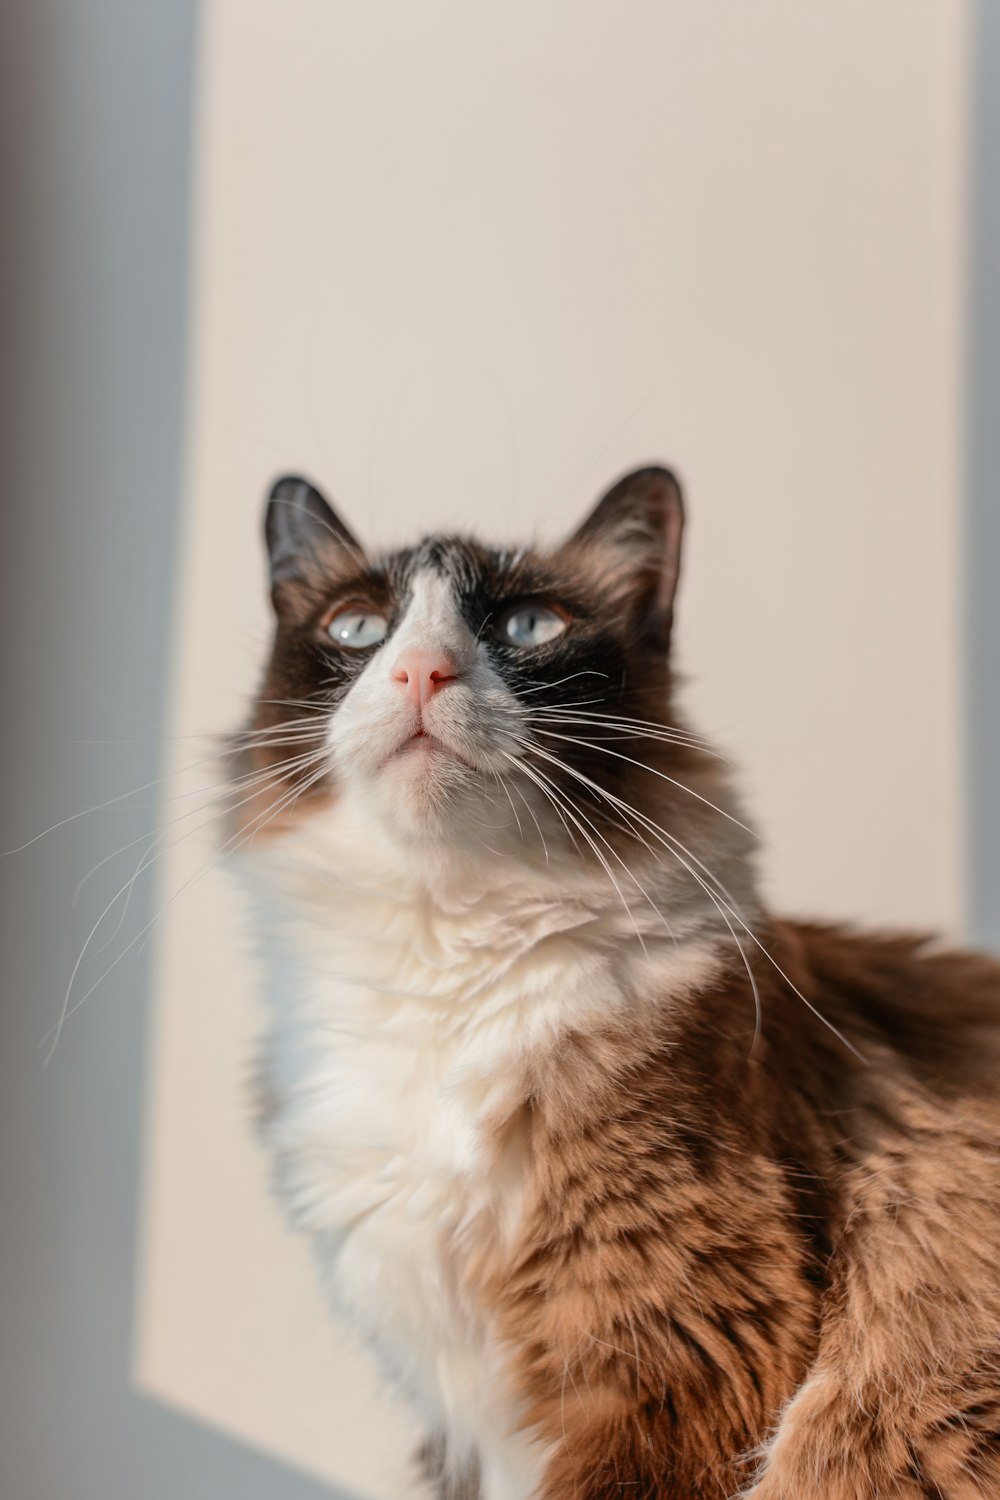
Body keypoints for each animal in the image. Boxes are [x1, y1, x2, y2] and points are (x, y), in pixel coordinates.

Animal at [230, 468, 1000, 1500]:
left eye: (528, 626)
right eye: (358, 628)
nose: (420, 673)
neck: (445, 947)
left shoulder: (675, 1351)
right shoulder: (462, 1419)